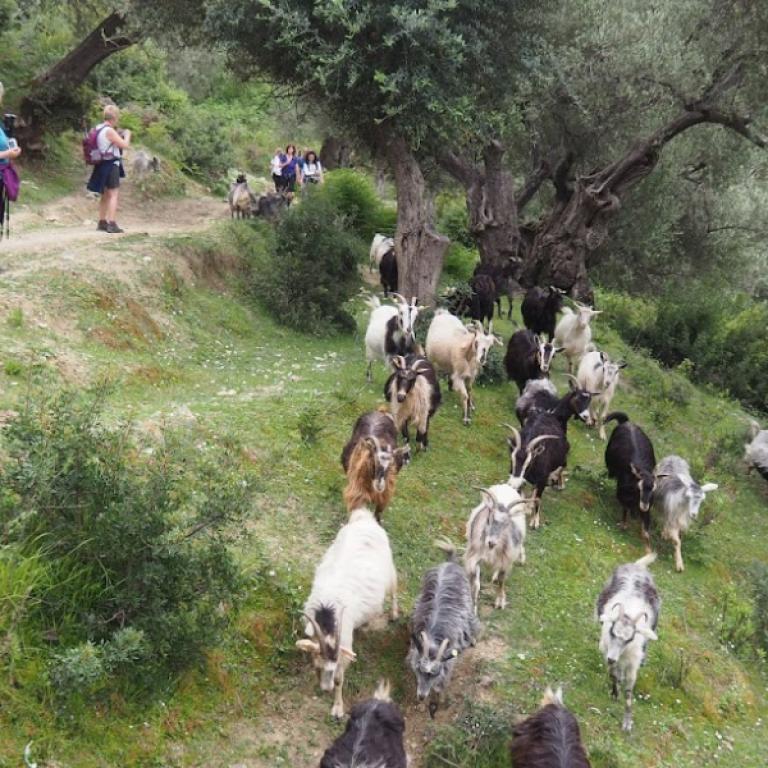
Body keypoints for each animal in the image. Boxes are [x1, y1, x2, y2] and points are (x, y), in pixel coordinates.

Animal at [296, 504, 400, 720]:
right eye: (320, 665)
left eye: (333, 667)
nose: (325, 689)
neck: (327, 611)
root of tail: (365, 518)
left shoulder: (343, 644)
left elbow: (340, 678)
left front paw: (337, 708)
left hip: (389, 569)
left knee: (394, 588)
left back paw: (394, 613)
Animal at [408, 544, 480, 716]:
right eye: (419, 669)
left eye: (435, 673)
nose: (421, 696)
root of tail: (451, 563)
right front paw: (422, 705)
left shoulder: (449, 661)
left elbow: (442, 684)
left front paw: (438, 701)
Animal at [592, 552, 660, 732]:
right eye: (612, 631)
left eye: (630, 638)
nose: (611, 659)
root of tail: (637, 565)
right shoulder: (607, 650)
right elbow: (613, 674)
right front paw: (615, 693)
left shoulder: (632, 661)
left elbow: (629, 690)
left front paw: (627, 721)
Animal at [604, 412, 656, 548]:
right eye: (639, 488)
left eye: (653, 490)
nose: (644, 506)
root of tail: (626, 422)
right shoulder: (623, 494)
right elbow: (625, 508)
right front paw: (623, 524)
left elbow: (646, 527)